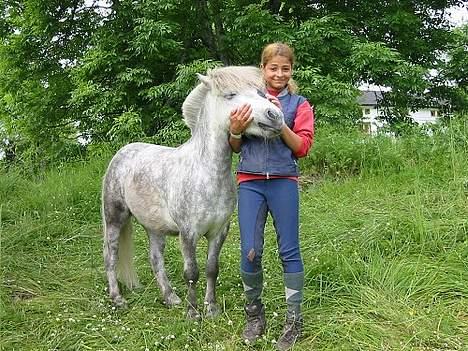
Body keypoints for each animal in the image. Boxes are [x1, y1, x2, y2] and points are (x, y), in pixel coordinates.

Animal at [102, 65, 284, 320]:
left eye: (260, 92)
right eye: (230, 95)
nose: (275, 116)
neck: (205, 172)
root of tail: (122, 153)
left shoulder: (219, 232)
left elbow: (211, 269)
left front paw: (211, 308)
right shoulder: (188, 233)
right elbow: (191, 272)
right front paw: (192, 313)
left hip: (154, 227)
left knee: (155, 259)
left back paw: (170, 298)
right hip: (114, 219)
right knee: (111, 256)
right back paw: (118, 299)